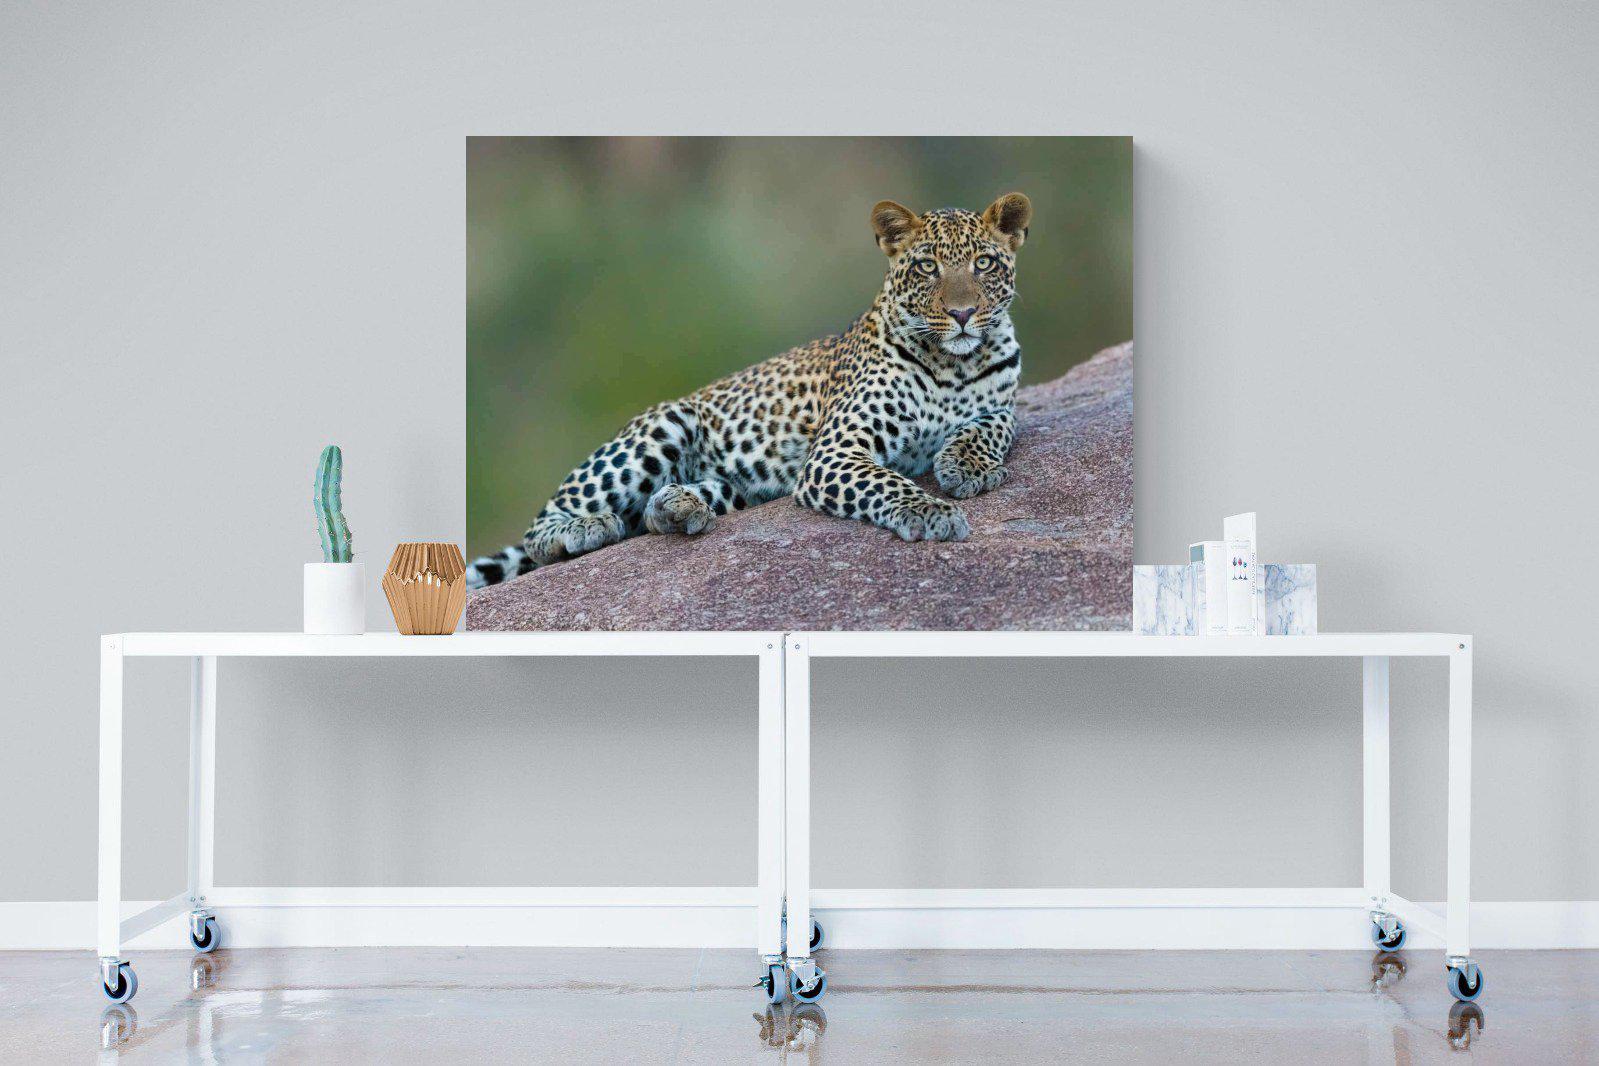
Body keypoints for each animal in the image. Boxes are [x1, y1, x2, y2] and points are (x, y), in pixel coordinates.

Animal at [466, 191, 1033, 590]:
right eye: (926, 266)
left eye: (983, 263)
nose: (962, 314)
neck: (954, 363)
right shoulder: (836, 452)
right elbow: (889, 483)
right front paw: (932, 511)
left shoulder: (1003, 404)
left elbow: (991, 427)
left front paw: (968, 467)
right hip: (662, 427)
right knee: (543, 527)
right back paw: (583, 529)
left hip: (739, 485)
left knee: (655, 511)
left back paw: (678, 507)